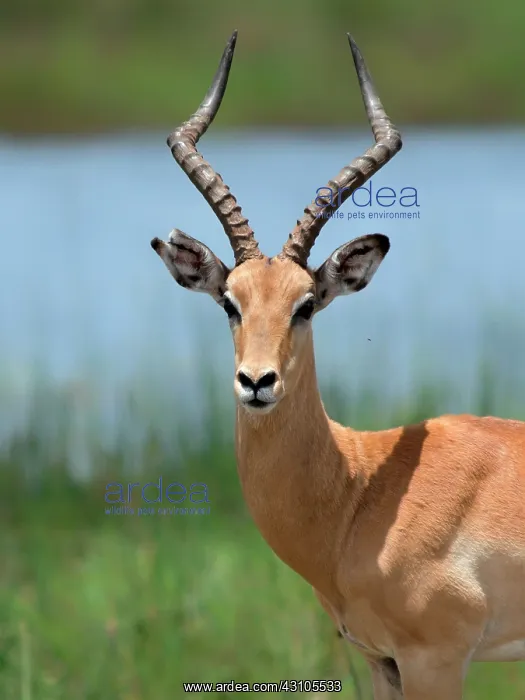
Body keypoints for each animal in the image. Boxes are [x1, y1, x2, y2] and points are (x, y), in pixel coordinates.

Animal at [150, 31, 525, 700]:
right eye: (230, 302)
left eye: (306, 304)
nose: (257, 382)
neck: (362, 490)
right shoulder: (382, 661)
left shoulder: (436, 657)